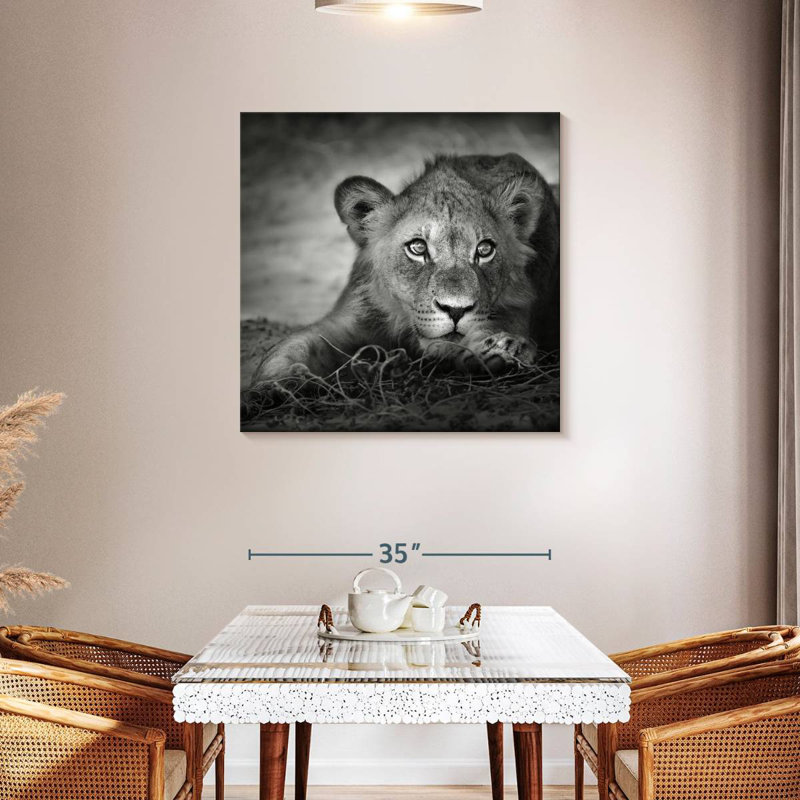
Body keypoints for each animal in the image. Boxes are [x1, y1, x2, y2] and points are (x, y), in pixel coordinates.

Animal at [252, 153, 559, 383]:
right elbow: (292, 346)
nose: (456, 310)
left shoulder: (517, 309)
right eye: (418, 248)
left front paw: (505, 350)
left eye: (484, 250)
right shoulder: (351, 318)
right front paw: (275, 384)